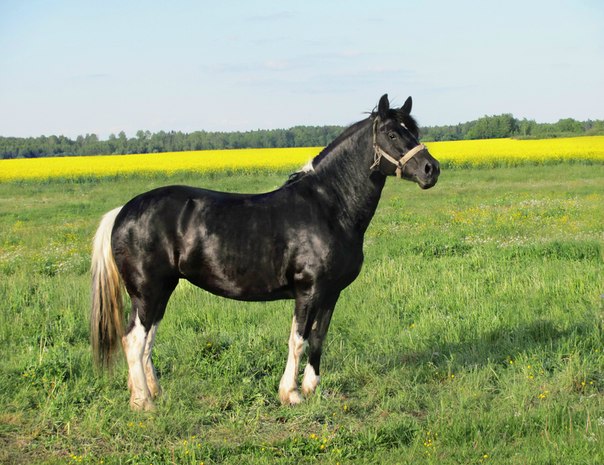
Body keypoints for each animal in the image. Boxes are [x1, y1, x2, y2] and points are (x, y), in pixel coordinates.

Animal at [90, 94, 440, 410]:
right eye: (392, 134)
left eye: (414, 131)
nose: (431, 169)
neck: (329, 207)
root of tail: (124, 211)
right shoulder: (308, 291)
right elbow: (298, 340)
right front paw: (292, 394)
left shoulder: (331, 293)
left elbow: (319, 338)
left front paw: (313, 389)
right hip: (147, 292)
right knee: (134, 340)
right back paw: (143, 402)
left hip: (163, 289)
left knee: (147, 341)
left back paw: (154, 392)